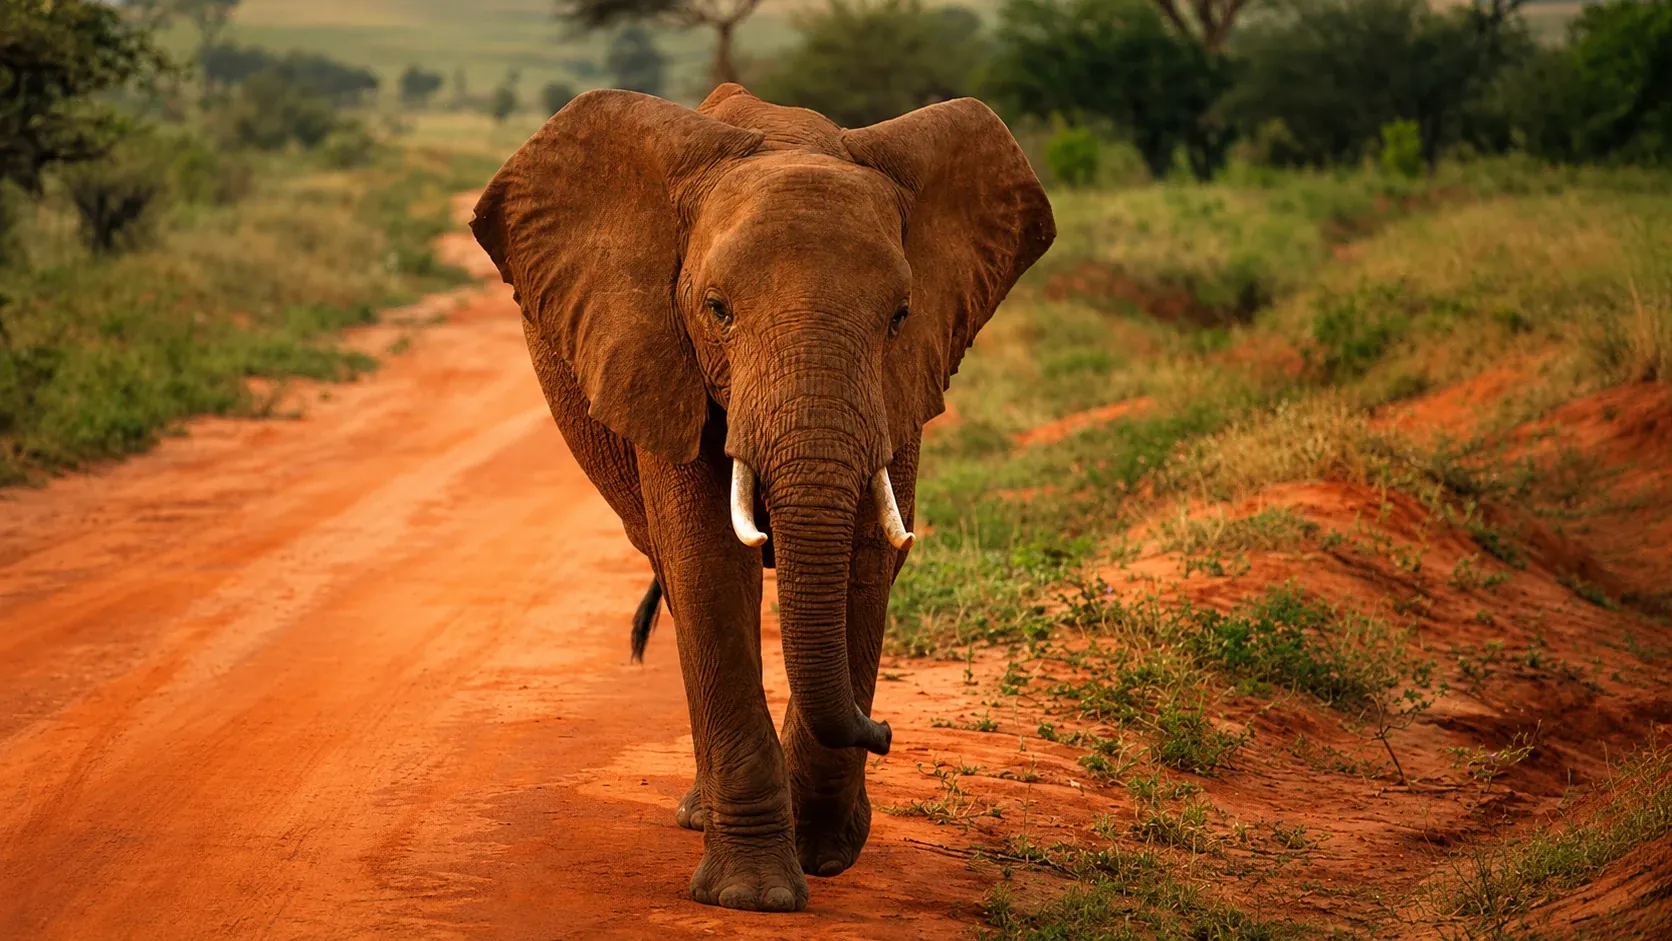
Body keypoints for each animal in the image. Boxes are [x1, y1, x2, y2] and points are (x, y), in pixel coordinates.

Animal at [470, 82, 1054, 913]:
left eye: (899, 317)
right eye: (717, 309)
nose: (883, 730)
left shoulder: (903, 381)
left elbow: (866, 561)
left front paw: (825, 852)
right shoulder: (663, 356)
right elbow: (709, 563)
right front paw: (755, 895)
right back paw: (700, 813)